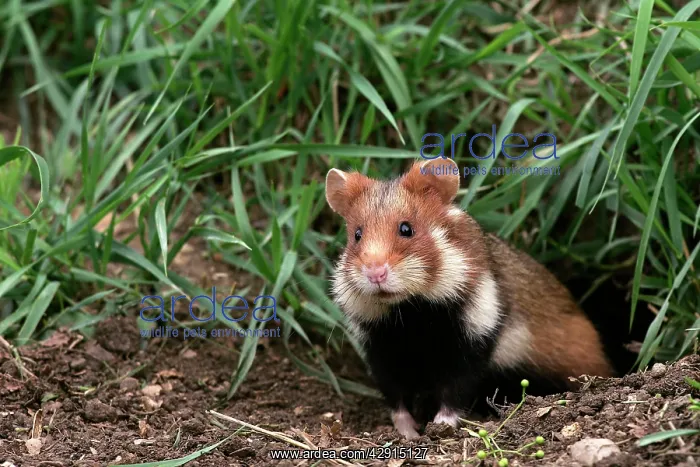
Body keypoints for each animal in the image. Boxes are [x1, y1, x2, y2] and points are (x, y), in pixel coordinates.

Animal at [325, 157, 614, 440]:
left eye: (406, 229)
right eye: (357, 235)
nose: (375, 273)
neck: (412, 313)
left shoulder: (476, 334)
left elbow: (457, 388)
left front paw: (442, 425)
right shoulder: (380, 347)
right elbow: (395, 396)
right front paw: (409, 432)